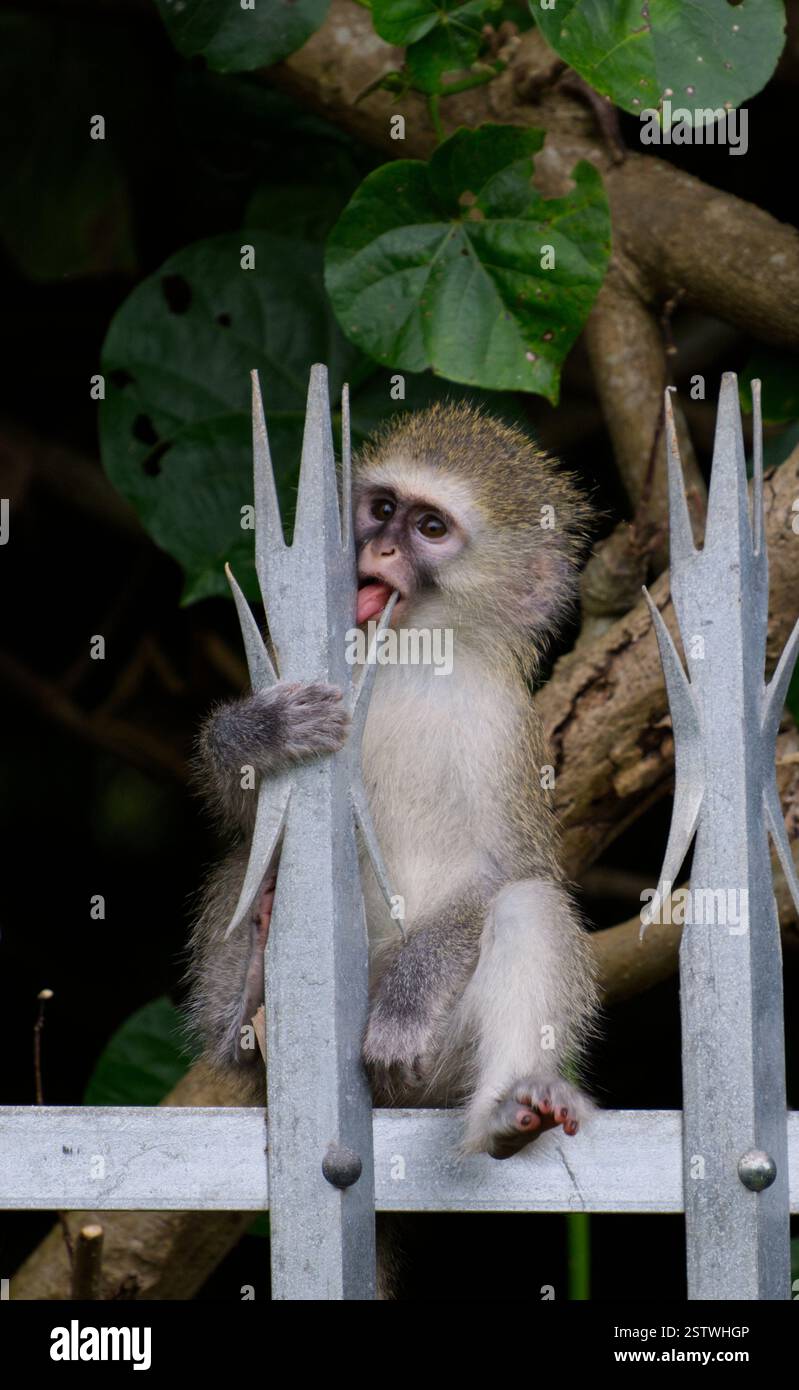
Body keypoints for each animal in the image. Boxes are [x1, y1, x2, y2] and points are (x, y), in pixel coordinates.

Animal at [186, 400, 599, 1174]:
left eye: (430, 528)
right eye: (381, 510)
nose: (375, 554)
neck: (410, 658)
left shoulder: (501, 728)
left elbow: (508, 869)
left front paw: (405, 1008)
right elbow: (244, 816)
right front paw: (256, 731)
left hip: (440, 1072)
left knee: (526, 906)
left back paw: (511, 1111)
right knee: (247, 868)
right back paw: (250, 995)